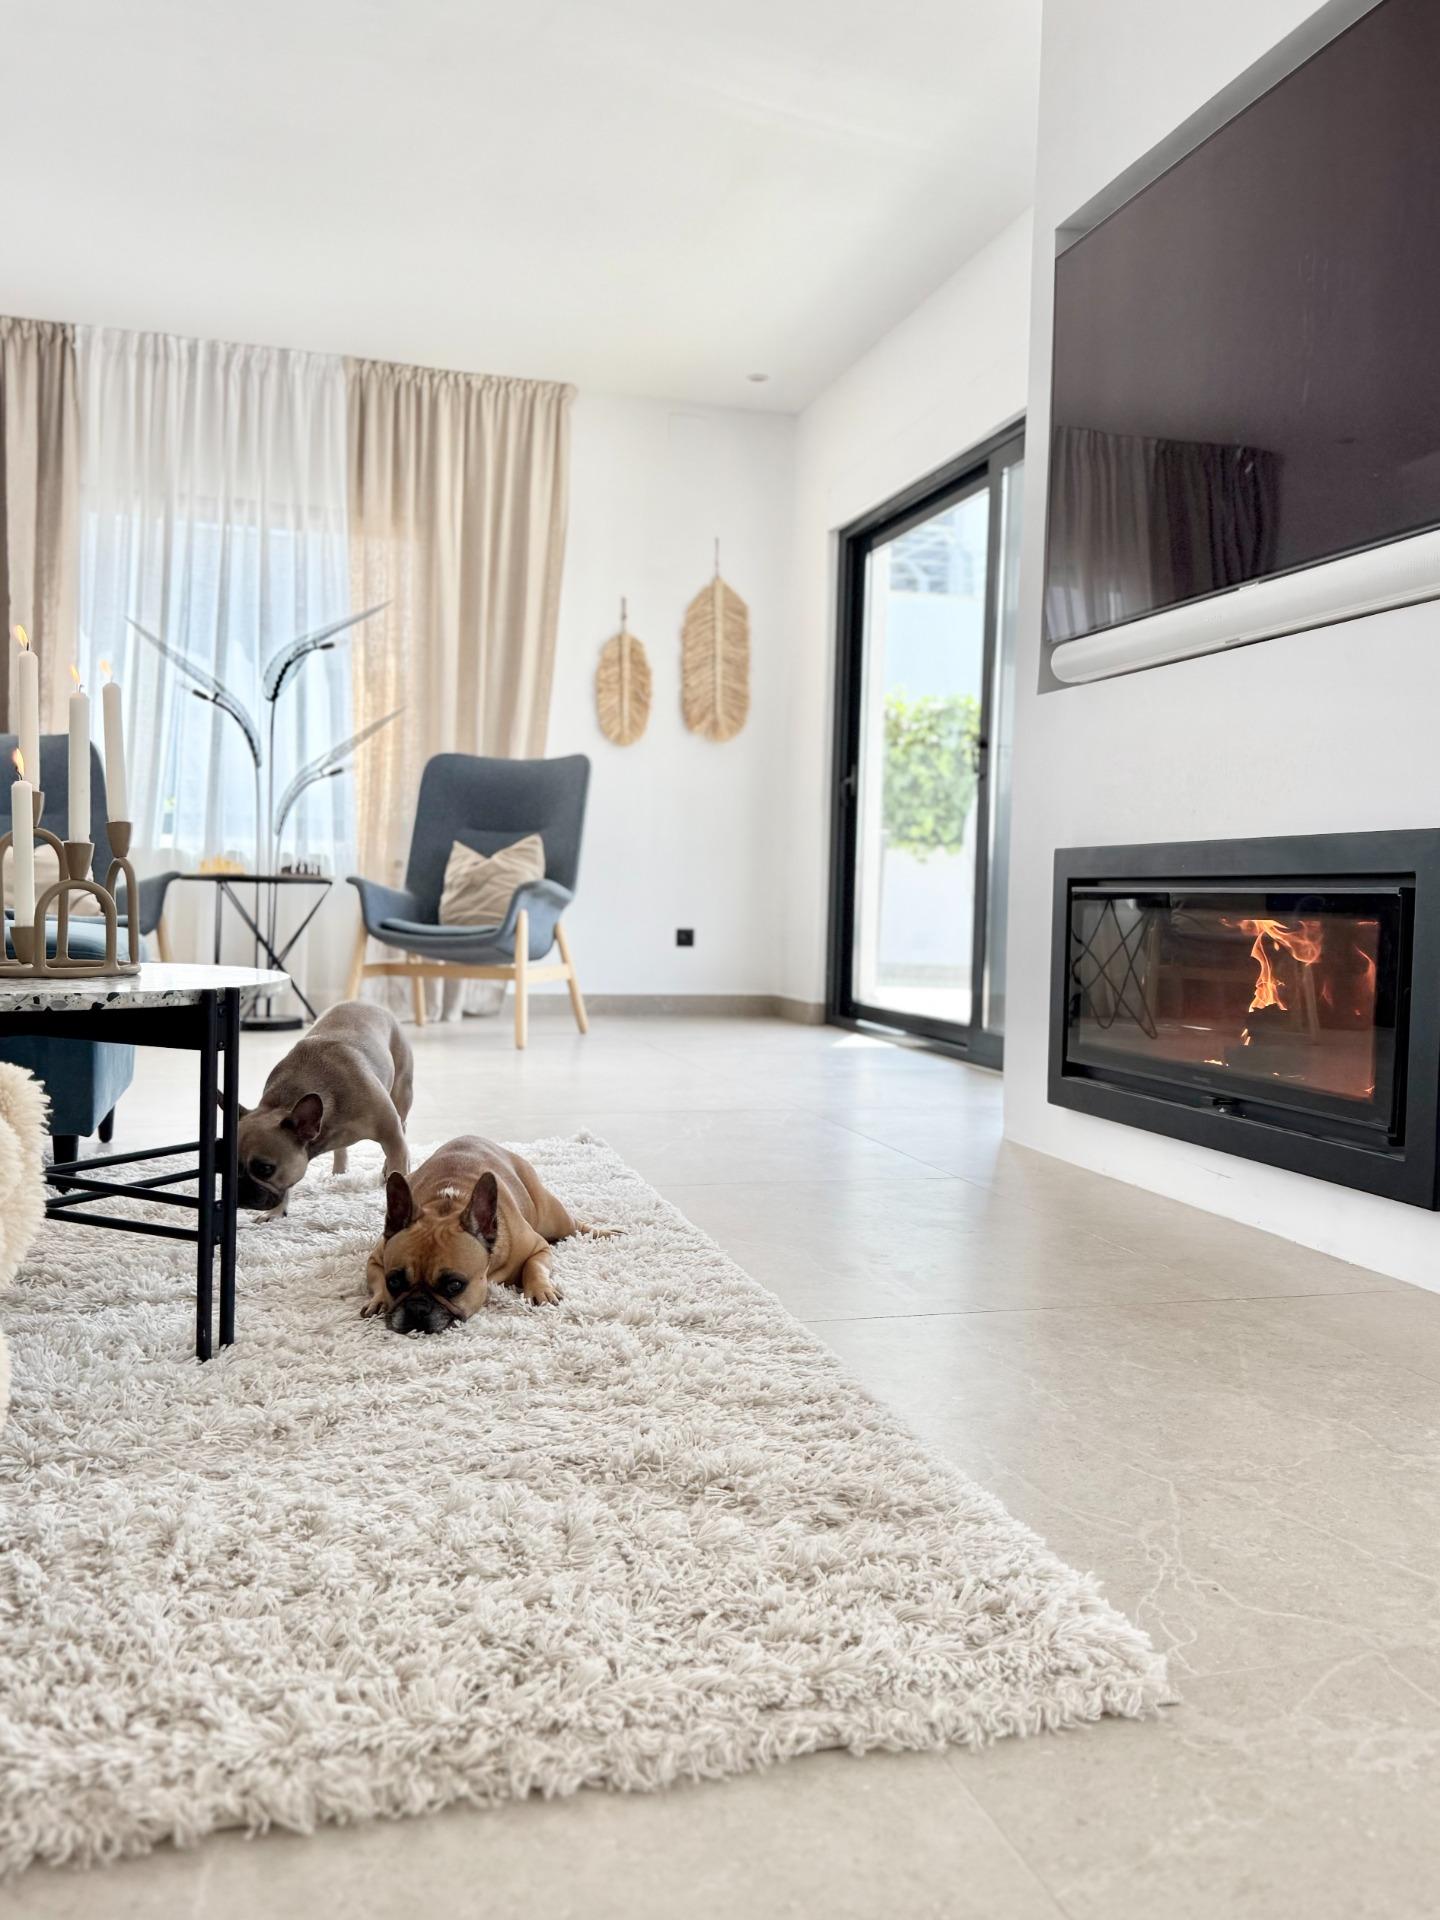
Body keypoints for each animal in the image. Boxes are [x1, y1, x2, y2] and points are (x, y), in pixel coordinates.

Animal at [236, 1000, 412, 1213]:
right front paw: (276, 1213)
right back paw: (339, 1171)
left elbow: (399, 1163)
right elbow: (287, 1185)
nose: (238, 1192)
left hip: (402, 1093)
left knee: (403, 1126)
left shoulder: (392, 1138)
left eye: (265, 1169)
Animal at [363, 1134, 602, 1333]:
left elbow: (534, 1265)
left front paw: (540, 1289)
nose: (416, 1307)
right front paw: (378, 1299)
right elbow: (375, 1278)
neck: (446, 1204)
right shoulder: (376, 1257)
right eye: (394, 1281)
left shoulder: (539, 1247)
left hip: (552, 1217)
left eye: (454, 1286)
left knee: (575, 1225)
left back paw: (602, 1232)